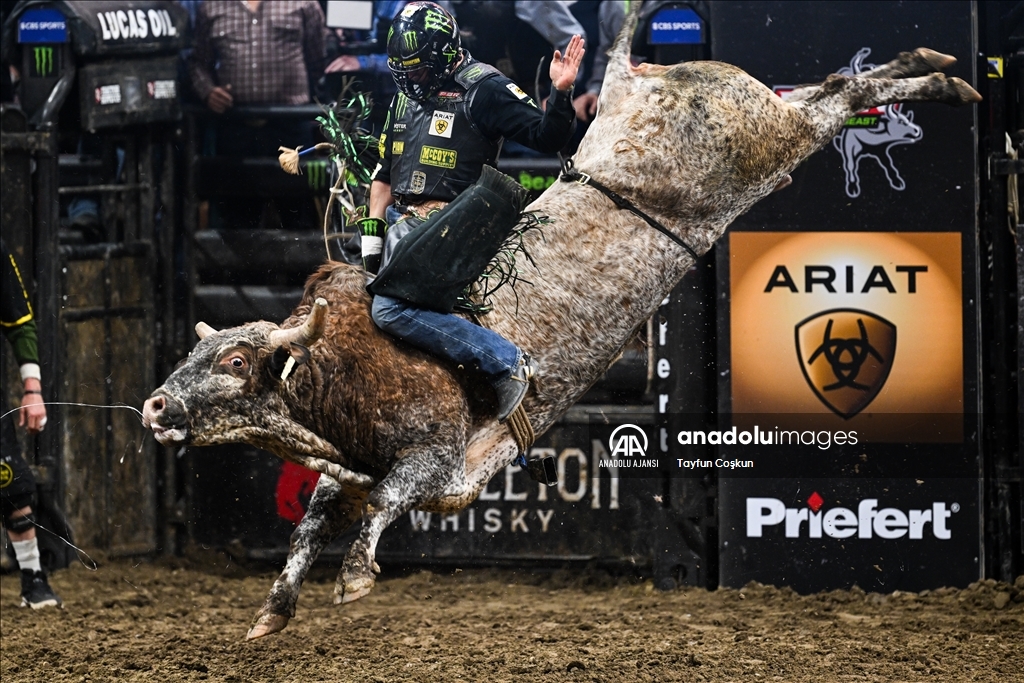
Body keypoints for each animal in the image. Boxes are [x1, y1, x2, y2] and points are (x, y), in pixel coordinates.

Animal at [140, 3, 978, 643]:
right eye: (202, 357)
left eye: (236, 364)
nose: (154, 403)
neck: (342, 371)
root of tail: (649, 82)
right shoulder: (348, 470)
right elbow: (310, 525)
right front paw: (273, 612)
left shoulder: (437, 463)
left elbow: (381, 504)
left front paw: (352, 580)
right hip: (765, 124)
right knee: (826, 87)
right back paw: (929, 64)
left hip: (769, 139)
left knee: (841, 92)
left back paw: (944, 74)